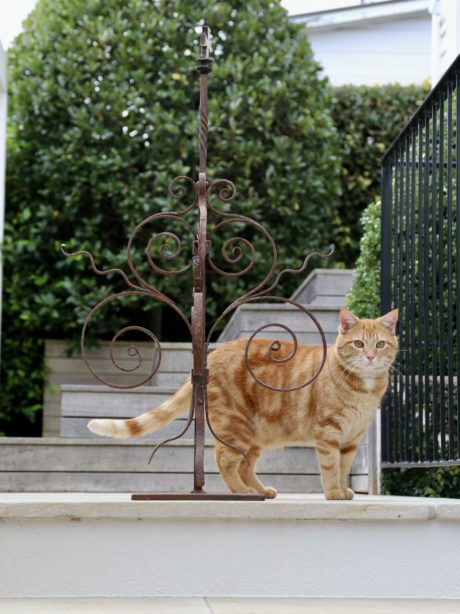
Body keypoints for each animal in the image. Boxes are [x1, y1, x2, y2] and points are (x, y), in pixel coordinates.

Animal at [90, 310, 398, 502]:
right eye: (358, 344)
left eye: (380, 345)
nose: (370, 357)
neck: (364, 387)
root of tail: (211, 356)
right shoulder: (329, 431)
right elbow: (331, 467)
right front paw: (334, 492)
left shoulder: (352, 438)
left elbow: (344, 467)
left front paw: (344, 490)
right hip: (236, 425)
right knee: (225, 462)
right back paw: (242, 492)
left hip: (254, 434)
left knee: (244, 466)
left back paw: (260, 490)